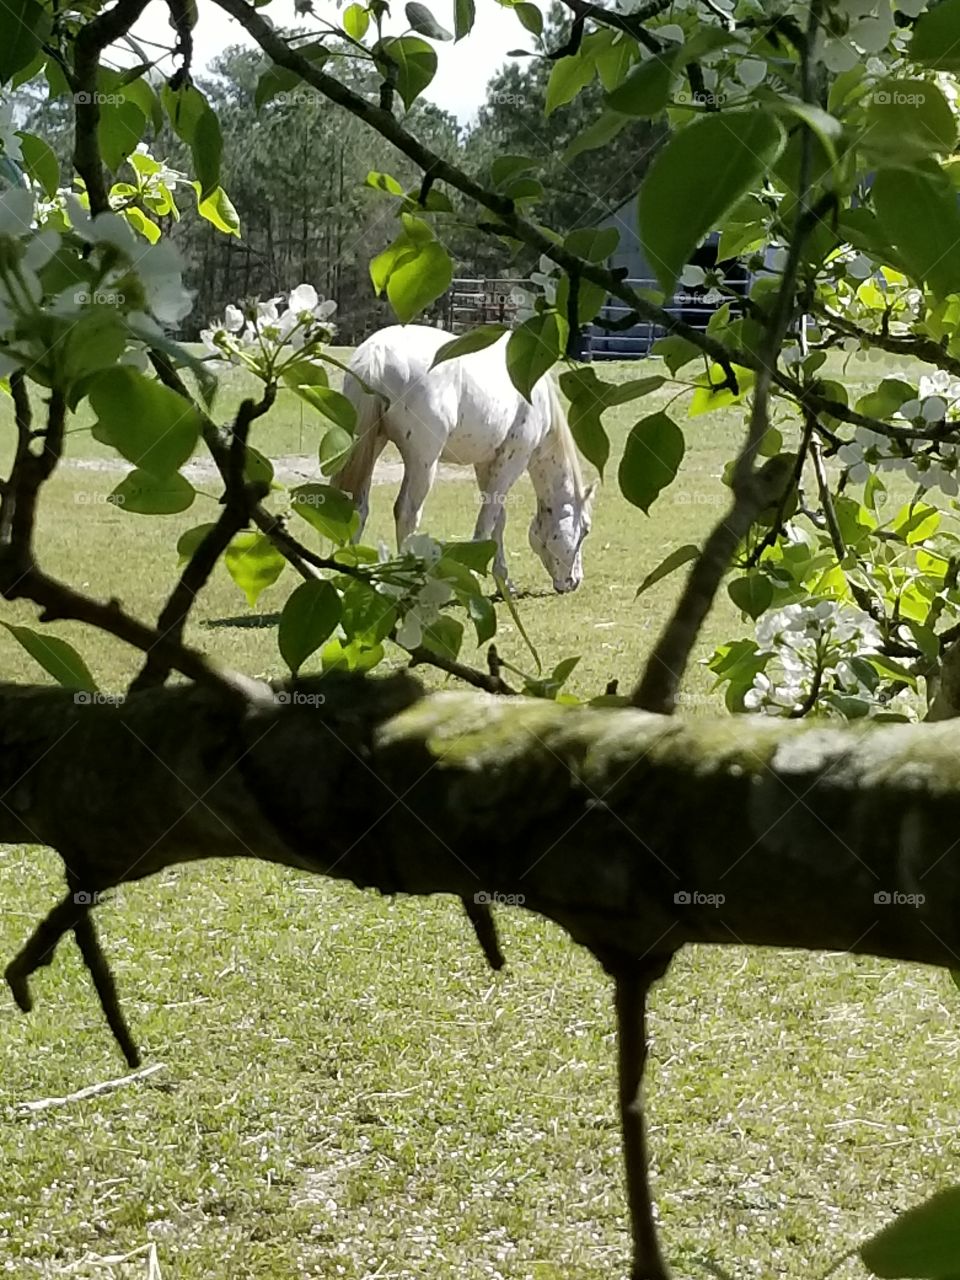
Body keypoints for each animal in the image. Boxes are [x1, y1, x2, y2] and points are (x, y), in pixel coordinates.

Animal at [333, 324, 596, 592]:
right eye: (585, 530)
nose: (574, 581)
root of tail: (376, 355)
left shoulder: (485, 463)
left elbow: (498, 518)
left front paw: (504, 581)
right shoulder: (514, 460)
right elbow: (488, 518)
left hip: (372, 445)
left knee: (358, 507)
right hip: (423, 462)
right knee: (407, 513)